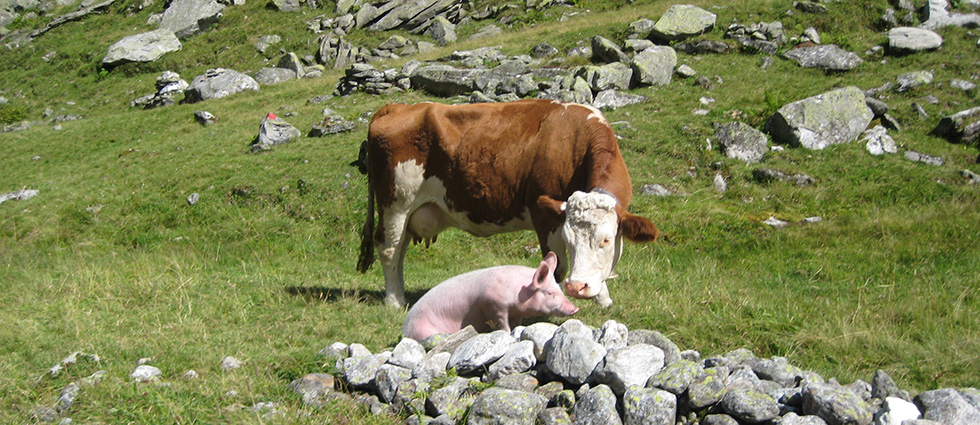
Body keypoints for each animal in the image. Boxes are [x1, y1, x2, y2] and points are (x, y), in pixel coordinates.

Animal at [354, 97, 660, 306]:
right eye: (569, 238)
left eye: (606, 240)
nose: (578, 287)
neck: (574, 140)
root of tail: (396, 106)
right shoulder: (544, 214)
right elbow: (557, 266)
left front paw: (603, 299)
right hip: (396, 203)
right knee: (389, 248)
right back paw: (395, 301)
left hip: (409, 211)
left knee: (400, 247)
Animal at [400, 252, 580, 342]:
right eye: (549, 292)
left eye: (559, 289)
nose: (575, 308)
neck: (517, 293)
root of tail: (405, 329)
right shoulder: (492, 303)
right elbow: (502, 324)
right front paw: (507, 333)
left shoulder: (516, 313)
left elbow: (516, 324)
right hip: (424, 332)